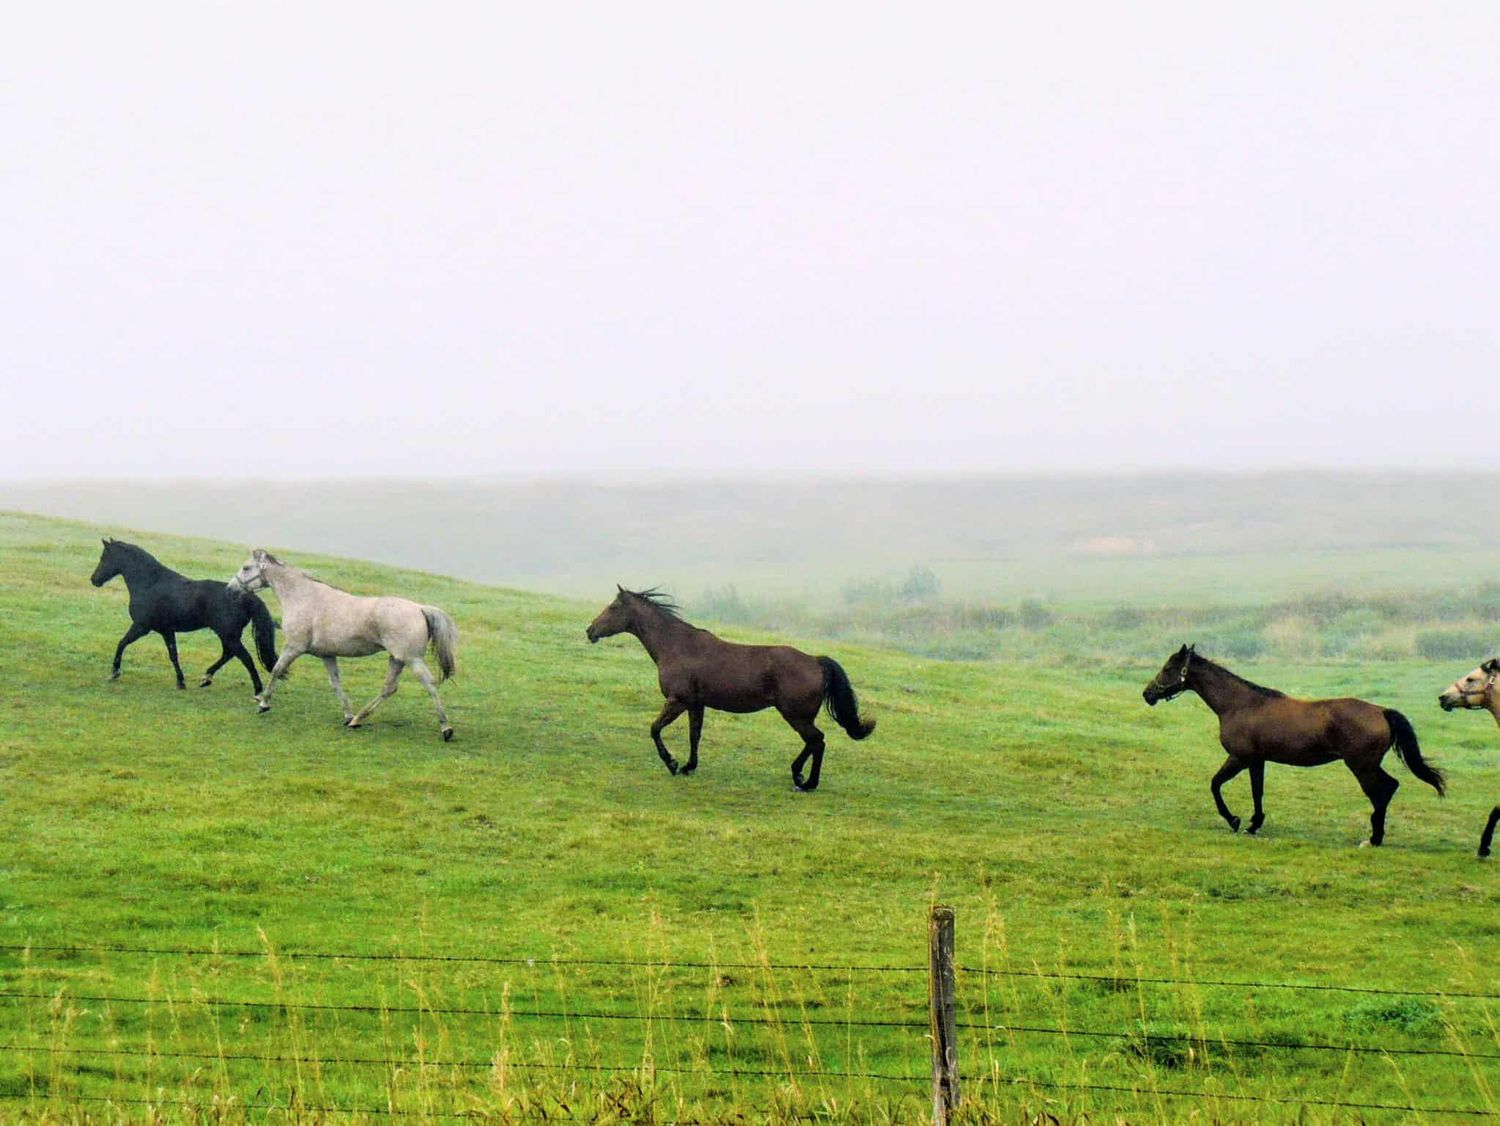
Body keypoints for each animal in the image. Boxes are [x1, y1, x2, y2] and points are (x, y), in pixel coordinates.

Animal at [91, 538, 278, 693]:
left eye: (104, 558)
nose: (94, 580)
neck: (151, 584)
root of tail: (246, 596)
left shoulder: (141, 627)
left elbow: (122, 643)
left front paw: (114, 672)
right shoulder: (166, 630)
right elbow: (173, 654)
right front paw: (181, 682)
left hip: (228, 635)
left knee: (245, 658)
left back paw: (258, 692)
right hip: (228, 635)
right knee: (229, 654)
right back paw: (206, 678)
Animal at [227, 549, 459, 741]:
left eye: (246, 567)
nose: (230, 589)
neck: (302, 597)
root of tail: (420, 608)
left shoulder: (294, 647)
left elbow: (277, 670)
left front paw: (263, 704)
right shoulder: (327, 655)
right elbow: (335, 684)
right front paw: (347, 714)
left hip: (412, 659)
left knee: (429, 685)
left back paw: (446, 728)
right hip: (397, 659)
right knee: (389, 688)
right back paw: (357, 720)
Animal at [585, 586, 875, 790]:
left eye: (613, 607)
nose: (590, 631)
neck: (678, 646)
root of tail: (816, 661)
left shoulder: (677, 700)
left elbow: (655, 729)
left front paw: (673, 764)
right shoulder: (695, 704)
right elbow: (694, 735)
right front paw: (689, 766)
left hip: (796, 716)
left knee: (817, 741)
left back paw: (805, 782)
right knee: (815, 742)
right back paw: (801, 775)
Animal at [1142, 644, 1444, 846]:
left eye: (1168, 668)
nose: (1147, 694)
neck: (1241, 704)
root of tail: (1381, 711)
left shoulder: (1239, 758)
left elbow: (1215, 784)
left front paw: (1234, 820)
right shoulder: (1257, 760)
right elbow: (1257, 791)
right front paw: (1254, 824)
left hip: (1362, 767)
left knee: (1383, 791)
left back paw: (1374, 838)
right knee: (1389, 788)